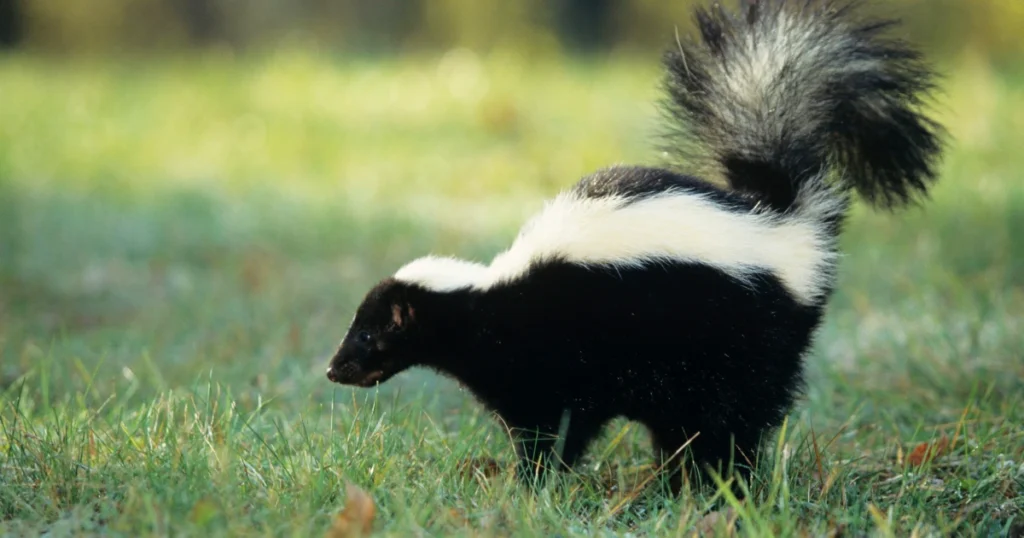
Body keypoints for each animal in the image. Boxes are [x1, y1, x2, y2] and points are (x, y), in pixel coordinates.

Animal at [325, 0, 942, 493]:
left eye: (369, 334)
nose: (333, 369)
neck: (487, 298)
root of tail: (781, 219)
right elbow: (556, 425)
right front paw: (541, 479)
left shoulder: (549, 361)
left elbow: (553, 427)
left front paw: (535, 482)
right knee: (688, 427)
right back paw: (680, 480)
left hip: (739, 346)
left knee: (736, 420)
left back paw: (724, 485)